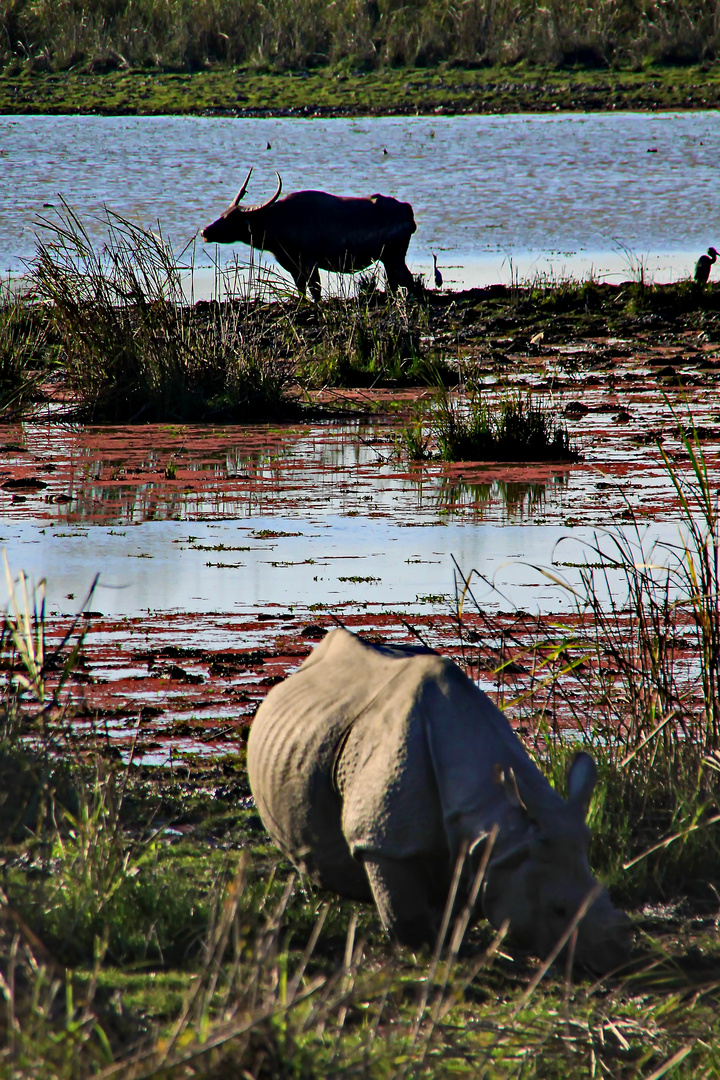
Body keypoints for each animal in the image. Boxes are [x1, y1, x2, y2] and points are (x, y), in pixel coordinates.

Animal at [199, 170, 418, 302]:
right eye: (223, 214)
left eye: (232, 219)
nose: (205, 231)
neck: (278, 224)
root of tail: (407, 211)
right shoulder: (293, 266)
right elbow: (301, 289)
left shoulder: (310, 262)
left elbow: (315, 290)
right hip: (388, 259)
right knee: (396, 283)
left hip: (395, 256)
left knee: (407, 280)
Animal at [248, 626, 630, 972]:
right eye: (558, 910)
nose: (614, 960)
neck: (498, 822)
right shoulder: (384, 840)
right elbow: (404, 911)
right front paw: (426, 954)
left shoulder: (480, 848)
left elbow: (465, 897)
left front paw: (453, 943)